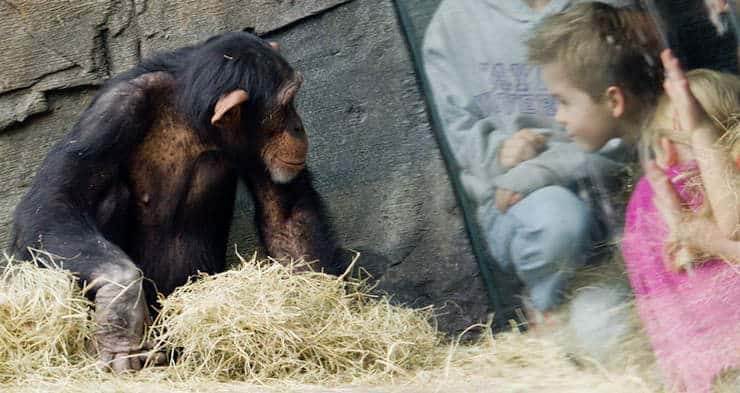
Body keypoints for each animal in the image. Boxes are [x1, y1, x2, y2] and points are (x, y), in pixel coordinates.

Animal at [6, 32, 342, 372]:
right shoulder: (113, 110)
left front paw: (317, 312)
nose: (298, 126)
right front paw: (120, 306)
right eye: (286, 105)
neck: (193, 119)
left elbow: (285, 215)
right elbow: (54, 202)